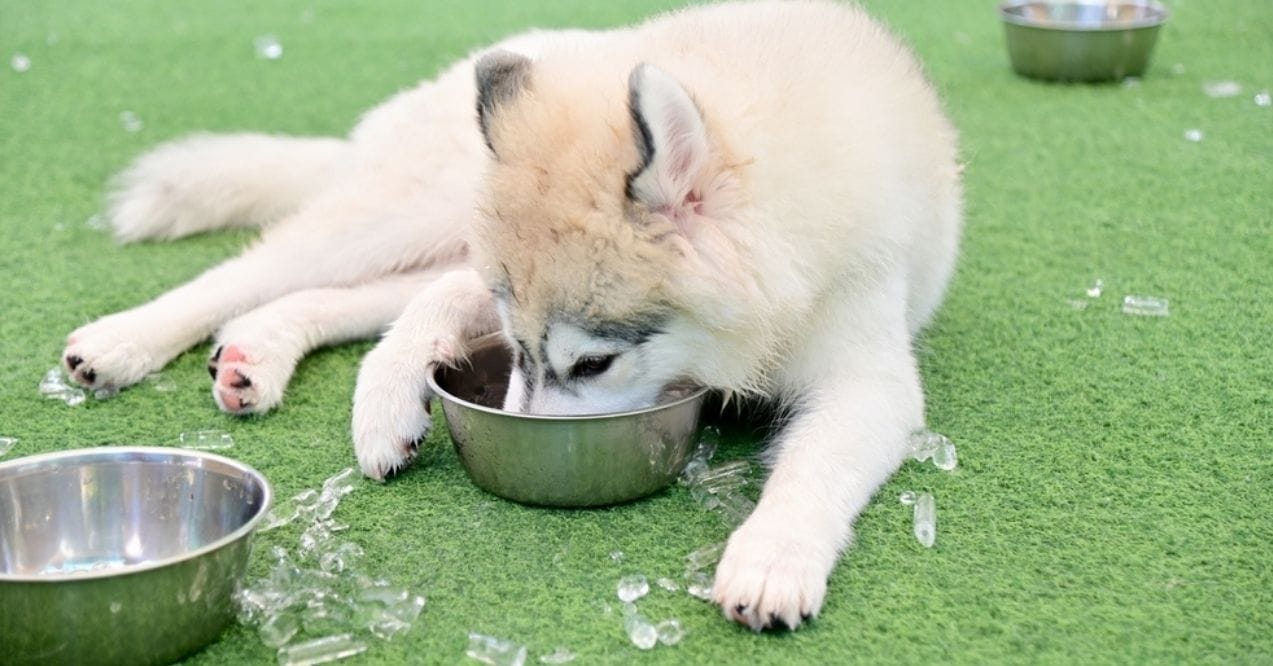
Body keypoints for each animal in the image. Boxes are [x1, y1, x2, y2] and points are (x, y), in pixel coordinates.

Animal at [59, 2, 957, 634]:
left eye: (593, 366)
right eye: (561, 363)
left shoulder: (867, 376)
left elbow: (815, 465)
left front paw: (773, 556)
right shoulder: (494, 292)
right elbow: (436, 314)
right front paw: (387, 403)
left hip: (431, 235)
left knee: (332, 296)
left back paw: (259, 353)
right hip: (408, 211)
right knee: (252, 269)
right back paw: (122, 340)